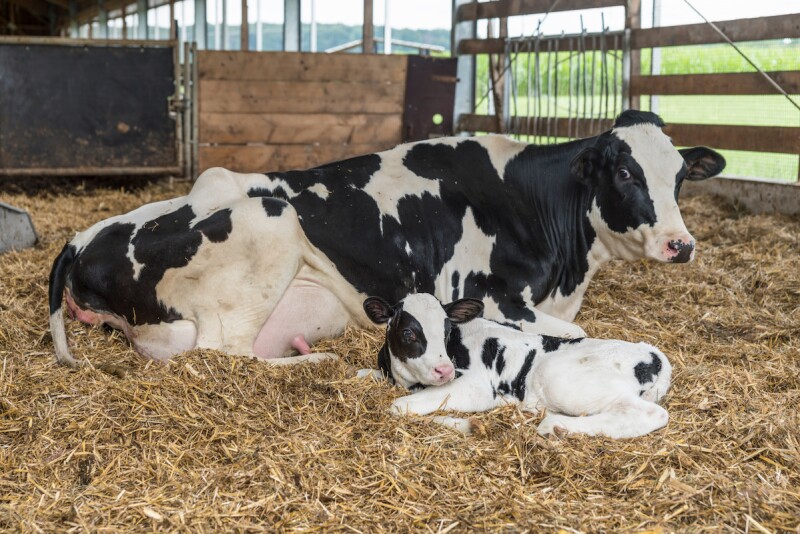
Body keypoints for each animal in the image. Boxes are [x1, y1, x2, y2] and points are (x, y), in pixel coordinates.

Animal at [49, 110, 724, 367]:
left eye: (680, 176)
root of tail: (81, 237)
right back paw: (312, 359)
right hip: (267, 223)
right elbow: (574, 335)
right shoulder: (492, 293)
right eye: (625, 173)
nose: (680, 244)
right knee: (225, 352)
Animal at [361, 293, 672, 439]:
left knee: (649, 414)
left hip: (562, 379)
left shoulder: (477, 386)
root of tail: (653, 355)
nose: (445, 370)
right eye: (408, 333)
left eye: (447, 329)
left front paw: (469, 424)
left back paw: (555, 426)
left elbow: (399, 407)